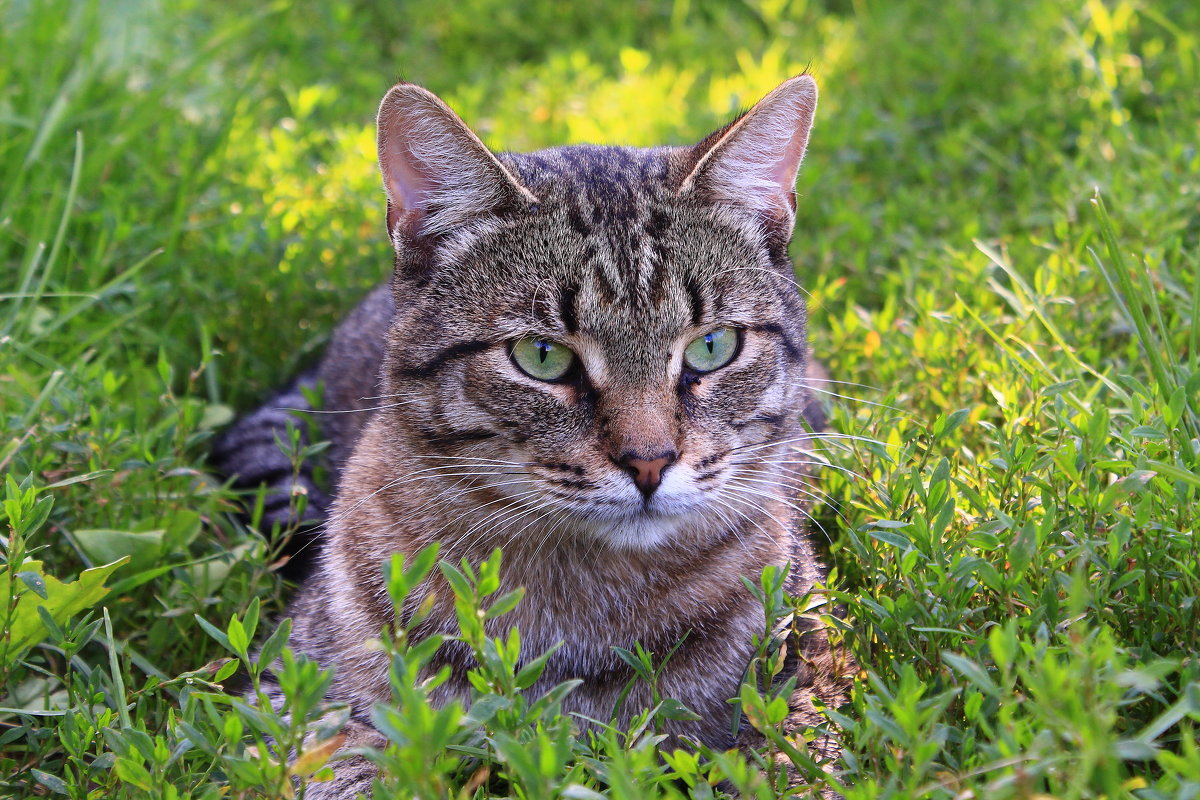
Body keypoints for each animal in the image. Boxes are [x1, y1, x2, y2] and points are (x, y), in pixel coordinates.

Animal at [218, 73, 854, 796]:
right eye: (542, 356)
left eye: (713, 346)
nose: (649, 461)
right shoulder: (289, 697)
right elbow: (342, 769)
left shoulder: (807, 676)